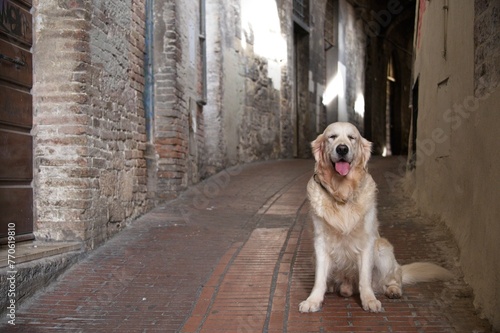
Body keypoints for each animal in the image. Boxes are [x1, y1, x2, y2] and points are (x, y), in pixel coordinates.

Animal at [298, 121, 456, 312]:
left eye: (352, 138)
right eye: (332, 137)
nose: (342, 149)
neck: (342, 194)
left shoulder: (367, 241)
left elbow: (365, 278)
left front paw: (369, 300)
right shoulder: (320, 242)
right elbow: (319, 278)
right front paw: (313, 300)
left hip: (383, 250)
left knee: (394, 278)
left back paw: (393, 290)